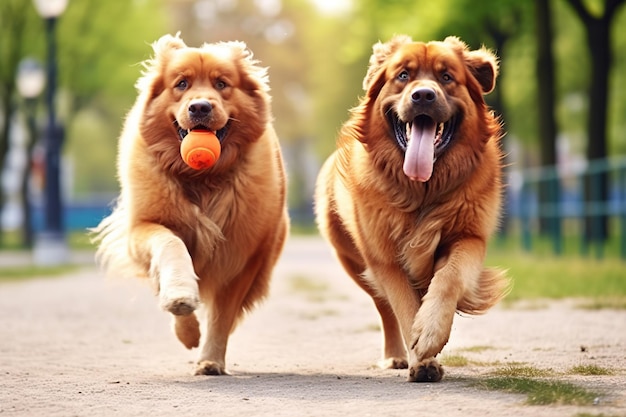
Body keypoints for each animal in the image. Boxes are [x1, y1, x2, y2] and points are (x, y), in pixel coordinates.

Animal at [92, 34, 288, 376]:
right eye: (181, 84)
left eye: (222, 84)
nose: (200, 106)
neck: (202, 178)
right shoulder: (143, 229)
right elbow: (171, 246)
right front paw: (182, 306)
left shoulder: (243, 257)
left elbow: (222, 315)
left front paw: (210, 359)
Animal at [316, 35, 508, 380]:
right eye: (403, 75)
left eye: (446, 77)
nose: (423, 95)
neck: (421, 191)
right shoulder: (385, 259)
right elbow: (404, 307)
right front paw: (422, 358)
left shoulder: (469, 238)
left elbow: (448, 278)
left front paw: (430, 332)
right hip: (355, 262)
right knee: (384, 308)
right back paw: (396, 355)